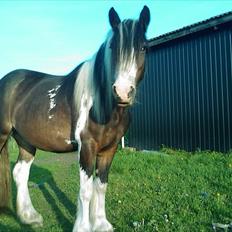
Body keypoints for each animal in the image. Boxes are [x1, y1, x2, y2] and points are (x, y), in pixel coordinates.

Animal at [0, 5, 150, 232]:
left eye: (143, 47)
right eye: (112, 47)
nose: (123, 92)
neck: (102, 105)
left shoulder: (110, 149)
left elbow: (101, 186)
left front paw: (102, 223)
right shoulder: (87, 147)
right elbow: (86, 191)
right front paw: (83, 226)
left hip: (26, 140)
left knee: (20, 173)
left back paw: (30, 217)